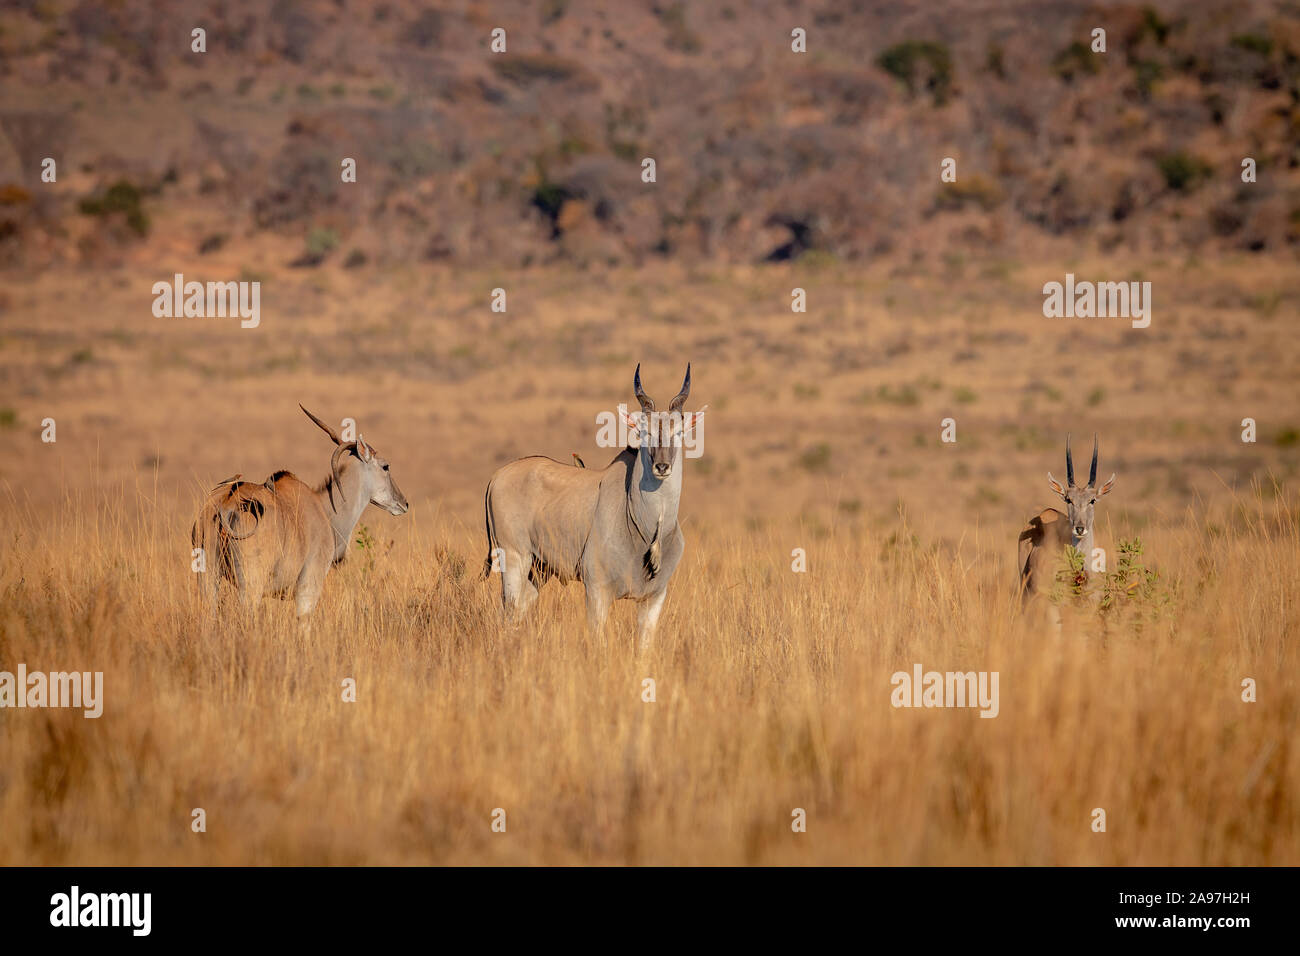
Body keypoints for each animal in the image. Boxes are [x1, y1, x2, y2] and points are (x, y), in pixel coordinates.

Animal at [189, 405, 405, 621]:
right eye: (385, 466)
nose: (404, 503)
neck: (324, 508)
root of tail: (226, 503)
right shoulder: (308, 588)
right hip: (250, 587)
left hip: (208, 579)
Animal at [483, 364, 707, 650]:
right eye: (643, 432)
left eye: (678, 432)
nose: (662, 467)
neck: (647, 530)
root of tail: (497, 476)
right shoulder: (597, 591)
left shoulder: (654, 598)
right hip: (513, 559)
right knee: (508, 614)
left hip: (538, 569)